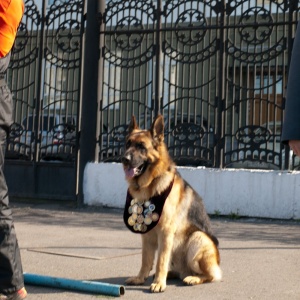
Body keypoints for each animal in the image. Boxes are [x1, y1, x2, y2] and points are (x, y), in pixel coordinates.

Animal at [120, 115, 221, 292]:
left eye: (141, 146)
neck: (152, 183)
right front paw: (140, 278)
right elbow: (145, 259)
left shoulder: (166, 232)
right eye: (128, 144)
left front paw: (159, 283)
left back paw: (192, 278)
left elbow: (160, 260)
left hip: (198, 239)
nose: (124, 159)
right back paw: (172, 274)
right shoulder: (146, 235)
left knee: (209, 275)